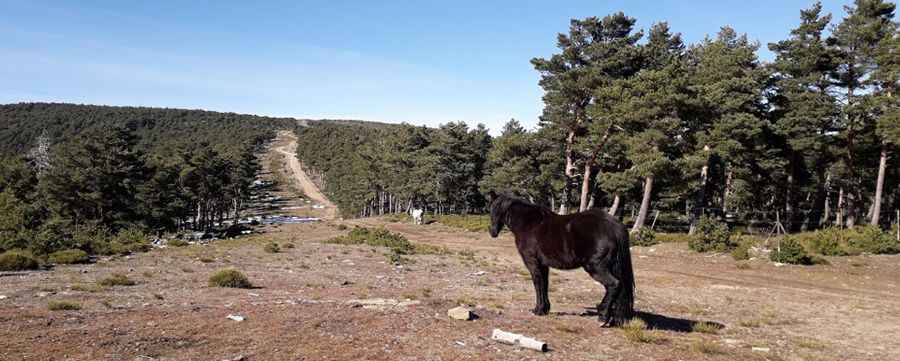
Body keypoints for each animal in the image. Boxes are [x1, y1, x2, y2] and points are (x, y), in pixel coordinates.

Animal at [488, 191, 636, 326]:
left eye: (494, 210)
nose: (492, 232)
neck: (529, 223)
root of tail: (614, 226)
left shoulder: (533, 262)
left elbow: (538, 283)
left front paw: (538, 310)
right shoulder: (543, 264)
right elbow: (545, 284)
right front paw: (545, 309)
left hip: (596, 268)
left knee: (614, 285)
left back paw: (603, 317)